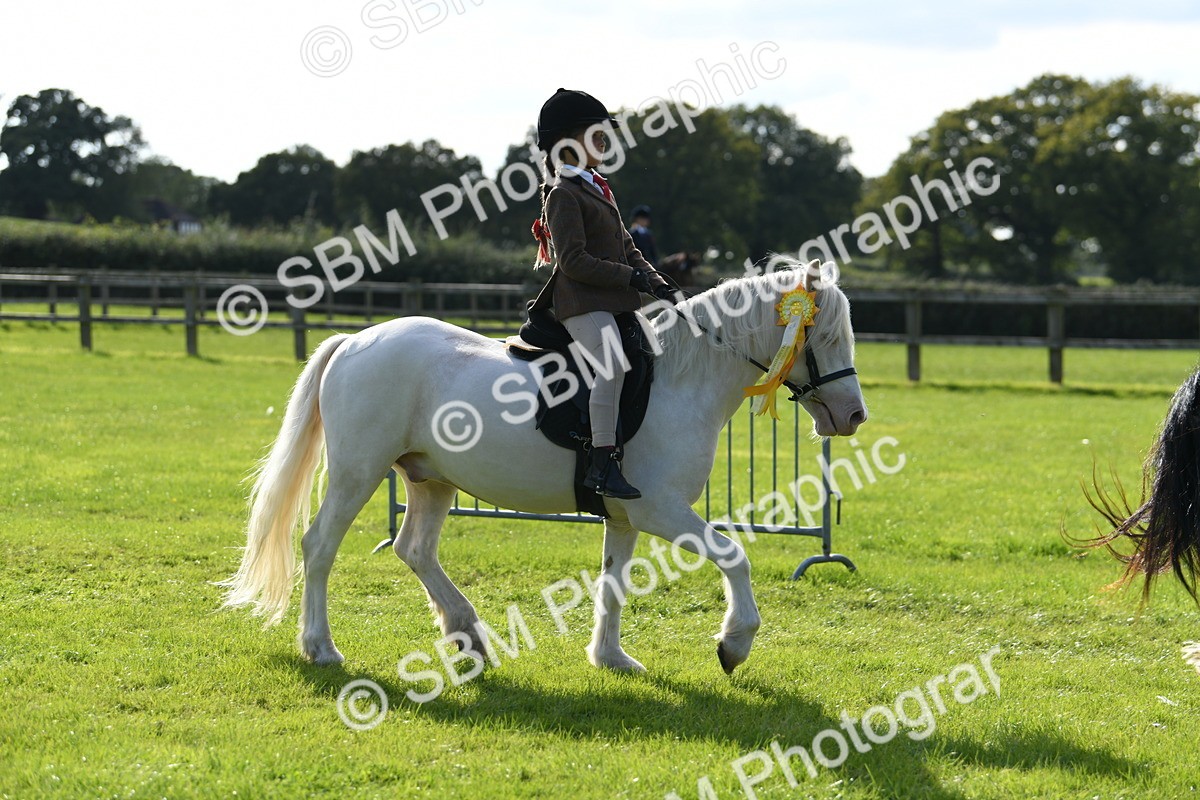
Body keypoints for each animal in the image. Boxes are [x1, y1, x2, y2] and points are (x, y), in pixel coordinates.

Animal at [220, 261, 867, 674]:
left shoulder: (625, 515)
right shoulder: (661, 509)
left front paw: (611, 658)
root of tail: (356, 340)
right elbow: (734, 555)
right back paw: (321, 648)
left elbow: (613, 582)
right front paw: (734, 645)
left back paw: (467, 634)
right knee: (319, 546)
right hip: (359, 472)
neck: (681, 381)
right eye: (826, 337)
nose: (854, 415)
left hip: (430, 479)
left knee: (414, 550)